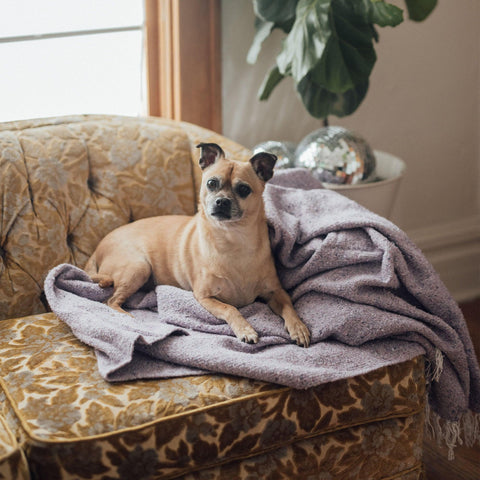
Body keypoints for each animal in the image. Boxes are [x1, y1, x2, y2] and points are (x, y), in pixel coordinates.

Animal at [85, 143, 312, 348]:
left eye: (243, 189)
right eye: (211, 183)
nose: (222, 201)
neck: (233, 239)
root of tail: (98, 247)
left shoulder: (276, 292)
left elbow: (290, 307)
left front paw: (298, 327)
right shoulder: (205, 297)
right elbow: (231, 309)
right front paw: (246, 330)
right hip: (139, 267)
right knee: (110, 301)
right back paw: (128, 318)